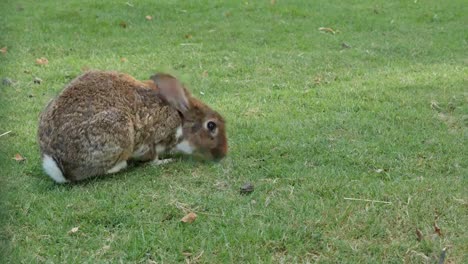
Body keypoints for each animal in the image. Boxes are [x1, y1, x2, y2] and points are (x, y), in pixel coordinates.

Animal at [37, 70, 228, 184]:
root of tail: (59, 165)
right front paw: (164, 161)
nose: (223, 154)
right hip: (119, 129)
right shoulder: (154, 137)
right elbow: (152, 157)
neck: (180, 118)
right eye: (211, 125)